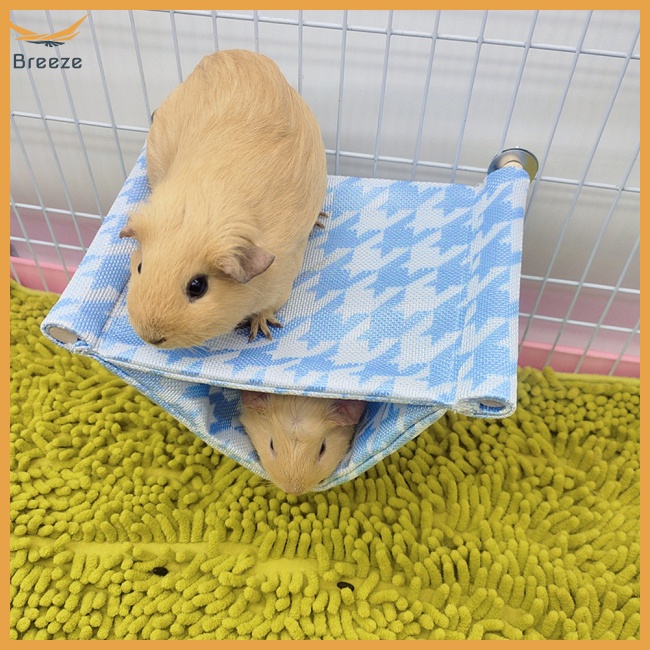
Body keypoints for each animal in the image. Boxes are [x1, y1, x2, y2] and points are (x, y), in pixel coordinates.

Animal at [119, 49, 327, 348]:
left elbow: (269, 306)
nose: (150, 337)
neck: (199, 206)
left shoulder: (282, 279)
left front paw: (259, 329)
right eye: (139, 266)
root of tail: (226, 55)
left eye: (197, 286)